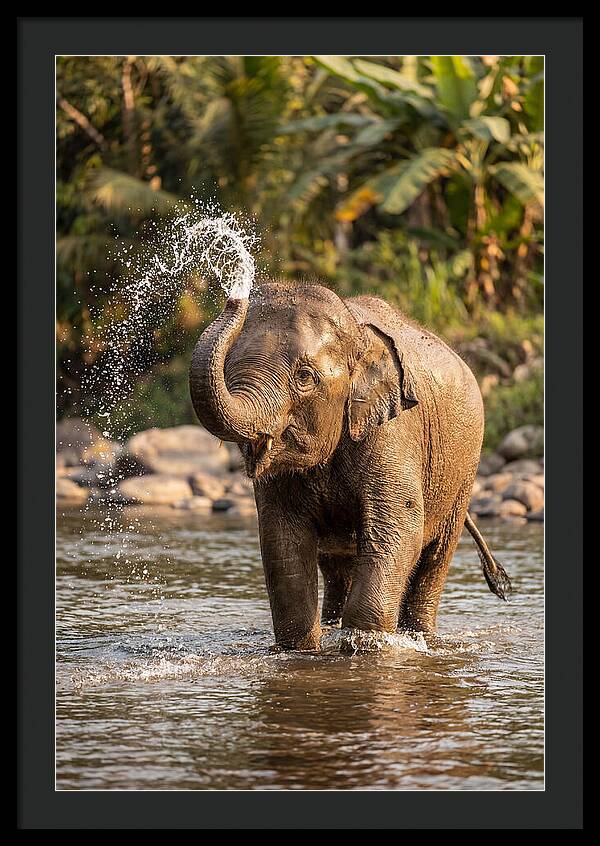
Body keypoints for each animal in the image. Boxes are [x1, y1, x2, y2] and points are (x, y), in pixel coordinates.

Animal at [189, 281, 510, 650]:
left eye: (304, 377)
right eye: (228, 369)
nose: (235, 294)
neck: (356, 333)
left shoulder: (394, 432)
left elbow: (398, 529)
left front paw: (364, 645)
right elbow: (282, 540)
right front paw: (303, 648)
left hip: (463, 471)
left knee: (435, 556)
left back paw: (420, 636)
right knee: (336, 565)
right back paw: (333, 625)